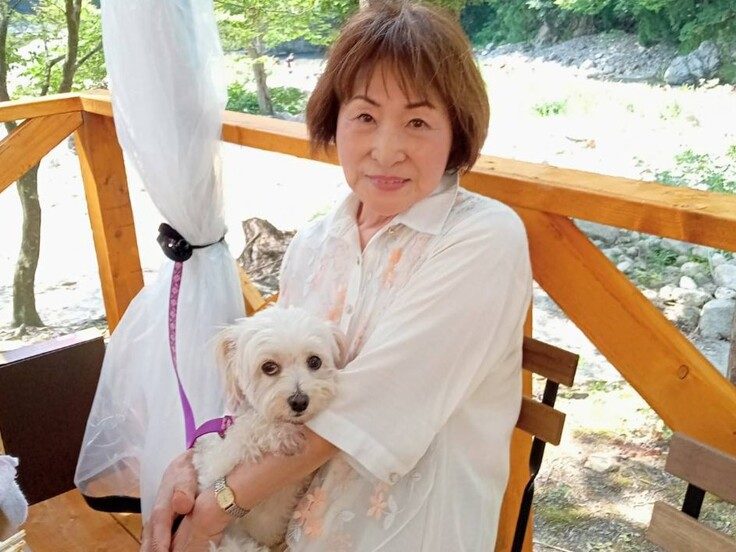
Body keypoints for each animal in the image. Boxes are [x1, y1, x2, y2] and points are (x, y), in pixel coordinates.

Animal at [193, 306, 346, 552]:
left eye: (314, 361)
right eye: (269, 367)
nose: (300, 401)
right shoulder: (218, 461)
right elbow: (247, 429)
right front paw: (283, 435)